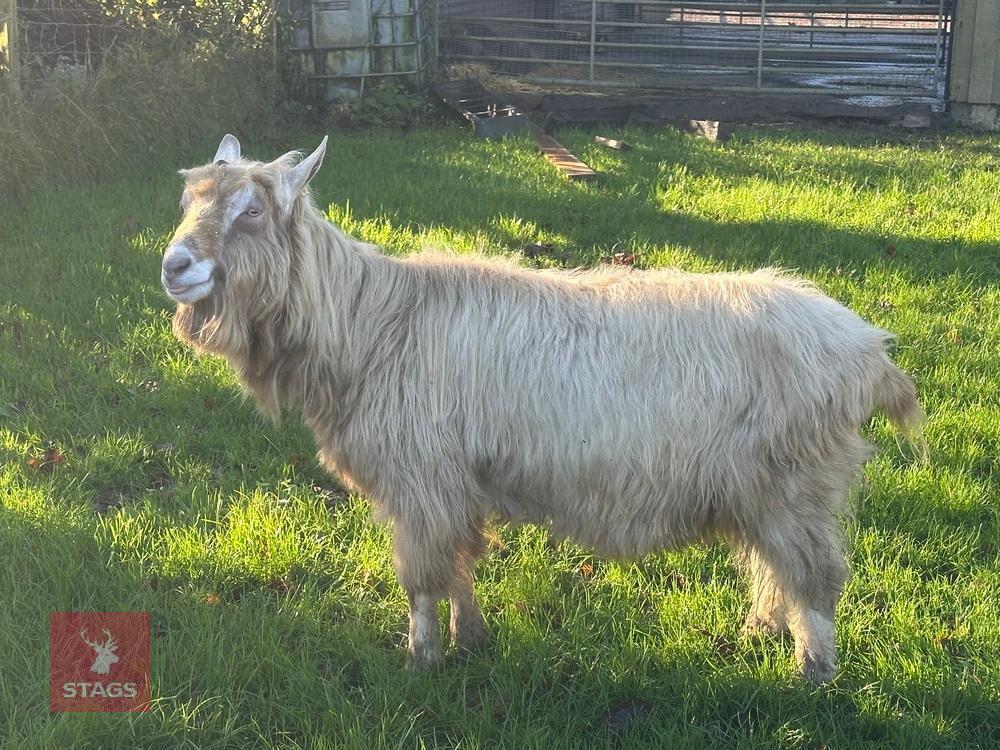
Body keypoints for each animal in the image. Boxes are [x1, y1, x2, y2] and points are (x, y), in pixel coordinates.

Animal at [161, 135, 923, 683]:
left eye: (251, 211)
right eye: (187, 200)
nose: (174, 266)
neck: (369, 322)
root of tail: (867, 349)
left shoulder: (421, 480)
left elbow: (423, 579)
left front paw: (422, 660)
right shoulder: (457, 482)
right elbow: (461, 564)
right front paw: (471, 639)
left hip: (796, 484)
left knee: (814, 578)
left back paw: (813, 673)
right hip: (762, 488)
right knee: (774, 568)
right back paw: (759, 632)